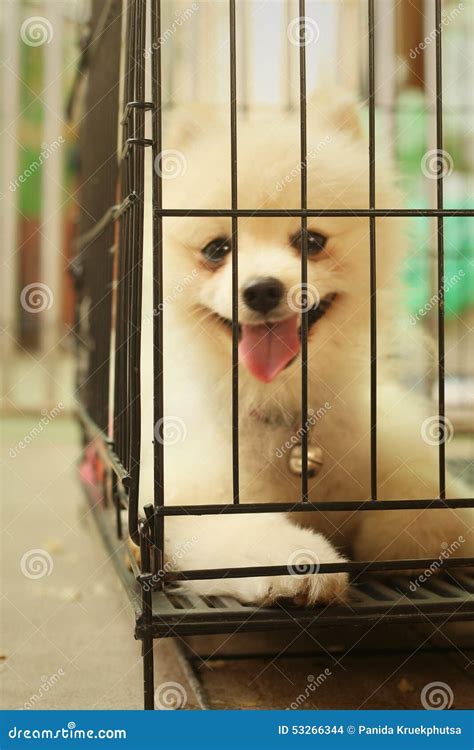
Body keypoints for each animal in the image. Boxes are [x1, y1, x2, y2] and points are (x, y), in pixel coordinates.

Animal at [139, 91, 472, 608]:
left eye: (311, 241)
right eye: (216, 250)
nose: (261, 290)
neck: (285, 410)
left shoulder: (391, 452)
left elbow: (436, 508)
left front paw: (398, 535)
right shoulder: (188, 498)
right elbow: (239, 530)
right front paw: (302, 564)